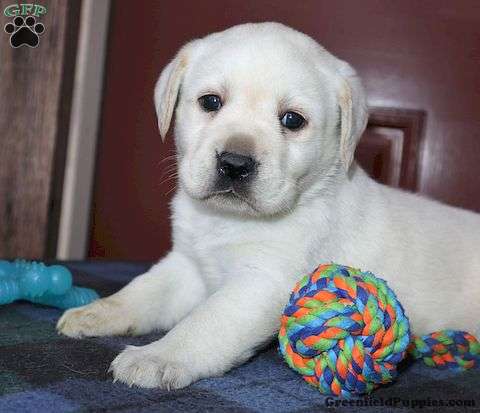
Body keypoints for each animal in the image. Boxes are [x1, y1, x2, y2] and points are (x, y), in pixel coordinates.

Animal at [57, 22, 480, 389]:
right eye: (210, 102)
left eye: (292, 120)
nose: (234, 164)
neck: (228, 221)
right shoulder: (188, 265)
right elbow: (144, 290)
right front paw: (97, 311)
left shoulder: (262, 283)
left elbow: (205, 323)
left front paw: (157, 356)